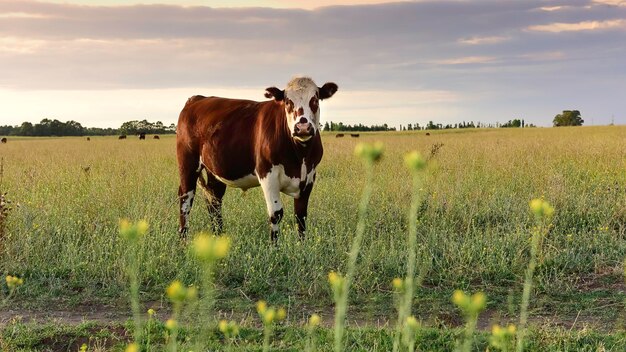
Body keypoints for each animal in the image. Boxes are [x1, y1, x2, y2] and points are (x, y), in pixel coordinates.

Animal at [176, 76, 336, 242]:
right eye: (287, 101)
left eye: (315, 99)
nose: (302, 127)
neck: (300, 156)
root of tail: (197, 98)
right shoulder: (267, 174)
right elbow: (276, 214)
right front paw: (275, 246)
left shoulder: (309, 176)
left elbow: (301, 216)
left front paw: (301, 245)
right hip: (187, 163)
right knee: (186, 198)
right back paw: (183, 240)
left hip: (214, 170)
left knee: (214, 200)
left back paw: (218, 236)